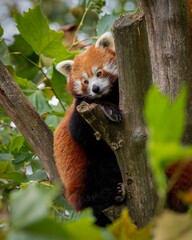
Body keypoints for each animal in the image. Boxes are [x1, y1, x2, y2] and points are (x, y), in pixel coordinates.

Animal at [54, 31, 125, 225]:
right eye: (85, 81)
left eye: (99, 73)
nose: (95, 88)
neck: (110, 95)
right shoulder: (79, 109)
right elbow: (80, 133)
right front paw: (109, 109)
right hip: (82, 174)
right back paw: (107, 194)